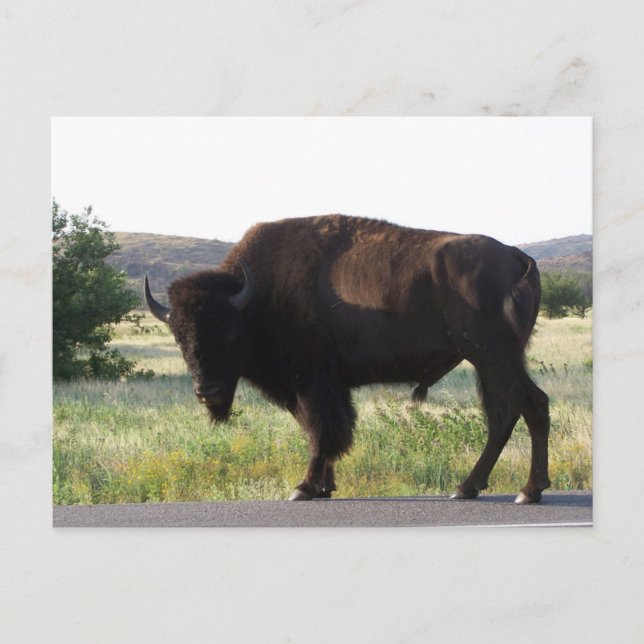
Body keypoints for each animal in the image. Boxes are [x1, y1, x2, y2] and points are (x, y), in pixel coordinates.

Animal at [145, 214, 550, 503]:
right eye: (179, 336)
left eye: (228, 332)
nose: (207, 392)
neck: (257, 297)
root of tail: (518, 256)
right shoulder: (321, 388)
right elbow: (318, 431)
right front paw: (324, 487)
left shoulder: (312, 383)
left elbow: (321, 431)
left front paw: (304, 488)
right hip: (491, 363)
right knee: (506, 414)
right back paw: (470, 487)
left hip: (495, 358)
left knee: (530, 406)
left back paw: (525, 491)